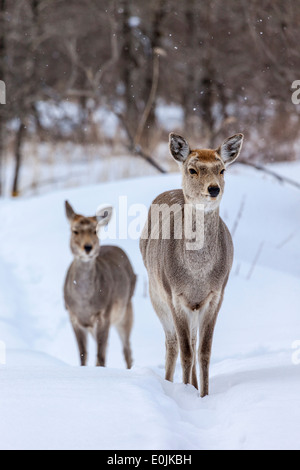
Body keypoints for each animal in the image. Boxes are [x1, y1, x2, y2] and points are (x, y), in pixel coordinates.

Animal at [65, 200, 137, 370]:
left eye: (95, 231)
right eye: (75, 231)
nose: (88, 247)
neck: (84, 303)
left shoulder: (104, 314)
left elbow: (100, 356)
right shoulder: (73, 316)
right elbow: (83, 355)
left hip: (125, 311)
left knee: (127, 349)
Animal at [141, 132, 244, 396]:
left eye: (222, 169)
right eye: (192, 169)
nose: (214, 189)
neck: (197, 274)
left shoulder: (215, 295)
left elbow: (204, 351)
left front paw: (203, 394)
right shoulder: (175, 295)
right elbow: (186, 352)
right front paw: (186, 392)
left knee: (192, 341)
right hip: (156, 293)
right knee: (173, 342)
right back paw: (168, 383)